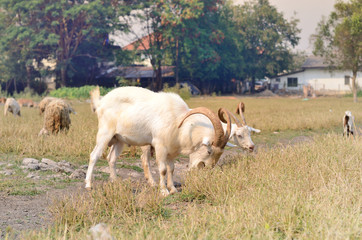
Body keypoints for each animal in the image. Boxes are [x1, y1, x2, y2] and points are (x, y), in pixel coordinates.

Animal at [86, 86, 230, 195]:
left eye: (220, 154)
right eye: (209, 151)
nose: (205, 168)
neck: (178, 120)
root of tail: (101, 102)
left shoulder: (172, 150)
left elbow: (172, 168)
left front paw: (173, 189)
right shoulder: (160, 146)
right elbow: (163, 169)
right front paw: (164, 191)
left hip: (119, 139)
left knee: (111, 158)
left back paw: (115, 182)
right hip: (105, 133)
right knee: (94, 155)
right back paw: (88, 184)